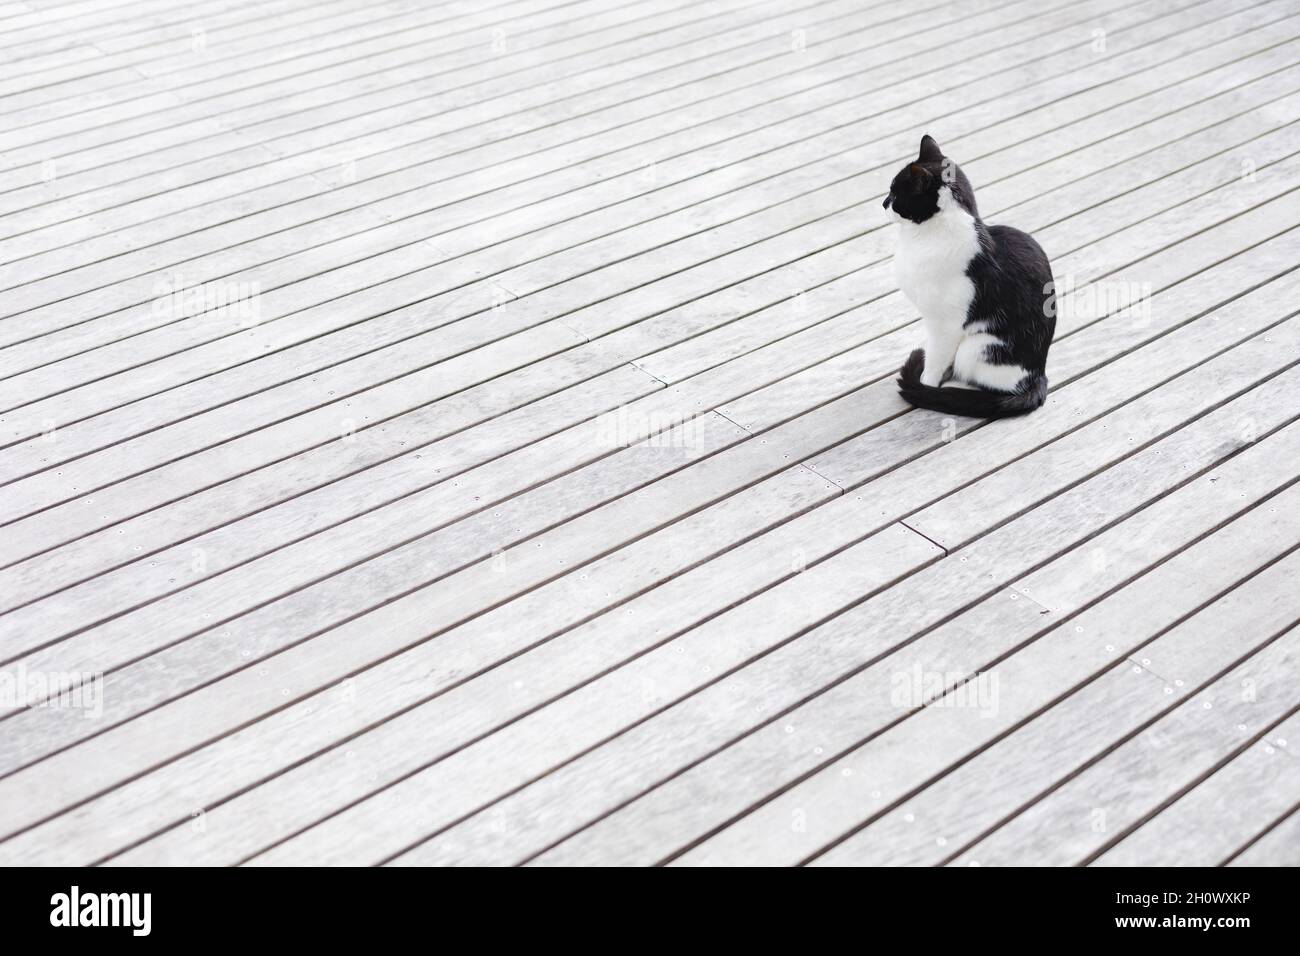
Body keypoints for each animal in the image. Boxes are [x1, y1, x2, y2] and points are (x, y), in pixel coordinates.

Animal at [883, 132, 1055, 416]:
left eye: (896, 193)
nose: (883, 203)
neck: (918, 239)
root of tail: (1038, 375)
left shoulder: (944, 324)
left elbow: (935, 360)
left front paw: (926, 386)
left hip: (976, 347)